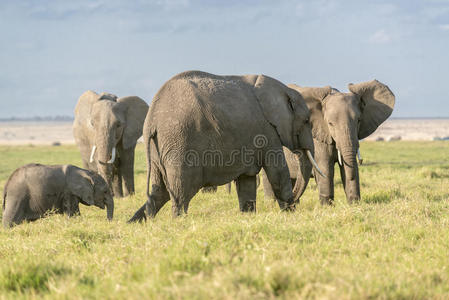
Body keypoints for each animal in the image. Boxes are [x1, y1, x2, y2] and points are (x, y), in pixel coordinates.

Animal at [128, 71, 324, 223]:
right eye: (306, 121)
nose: (295, 201)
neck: (283, 89)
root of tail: (151, 120)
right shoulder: (267, 131)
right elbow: (278, 172)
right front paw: (290, 214)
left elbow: (247, 180)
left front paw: (248, 216)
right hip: (179, 143)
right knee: (180, 193)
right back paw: (178, 222)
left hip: (158, 149)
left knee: (159, 192)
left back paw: (137, 222)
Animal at [262, 79, 396, 204]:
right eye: (330, 123)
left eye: (358, 121)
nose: (362, 161)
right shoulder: (317, 137)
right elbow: (325, 167)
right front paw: (327, 206)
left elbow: (347, 166)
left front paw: (354, 204)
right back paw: (272, 204)